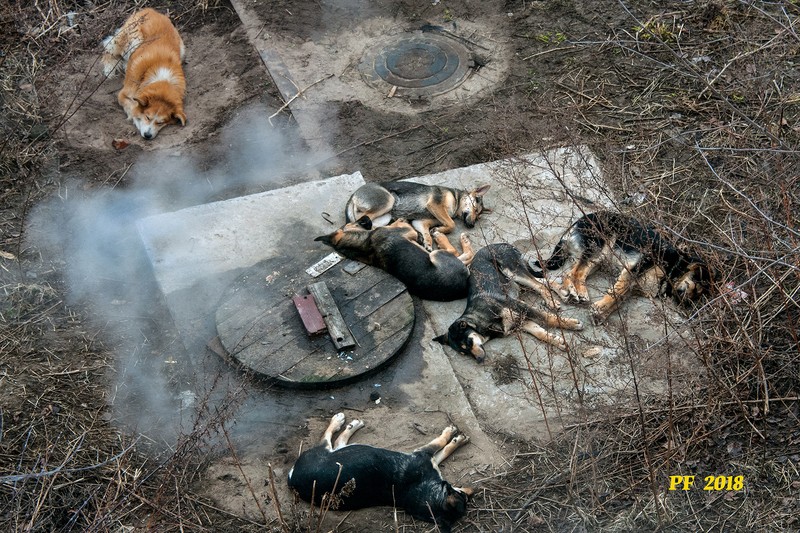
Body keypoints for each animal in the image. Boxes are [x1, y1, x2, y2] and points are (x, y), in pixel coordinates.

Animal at [288, 412, 476, 528]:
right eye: (463, 496)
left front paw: (456, 440)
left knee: (338, 441)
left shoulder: (428, 460)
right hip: (323, 452)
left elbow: (443, 451)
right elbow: (442, 444)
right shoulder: (423, 454)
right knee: (327, 437)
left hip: (340, 452)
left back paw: (350, 425)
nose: (474, 491)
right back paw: (339, 421)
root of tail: (292, 480)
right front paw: (454, 436)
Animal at [314, 215, 476, 300]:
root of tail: (463, 284)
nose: (366, 216)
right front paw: (399, 220)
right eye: (351, 222)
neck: (363, 244)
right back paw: (445, 237)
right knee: (461, 253)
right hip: (437, 255)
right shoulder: (408, 231)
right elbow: (401, 226)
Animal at [346, 181, 490, 251]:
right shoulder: (435, 205)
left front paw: (430, 239)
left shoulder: (420, 222)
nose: (472, 225)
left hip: (384, 217)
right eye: (475, 209)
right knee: (352, 223)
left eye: (478, 217)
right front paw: (440, 230)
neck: (456, 199)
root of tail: (353, 195)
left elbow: (429, 231)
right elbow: (452, 224)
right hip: (388, 201)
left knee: (371, 226)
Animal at [434, 243, 584, 360]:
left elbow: (547, 318)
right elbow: (539, 332)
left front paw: (571, 324)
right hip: (517, 280)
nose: (479, 360)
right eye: (463, 352)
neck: (481, 319)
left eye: (469, 342)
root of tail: (500, 244)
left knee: (539, 285)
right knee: (544, 281)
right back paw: (561, 293)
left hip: (513, 272)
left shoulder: (520, 307)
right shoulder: (520, 321)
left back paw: (551, 301)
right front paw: (558, 341)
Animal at [532, 211, 712, 320]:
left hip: (598, 259)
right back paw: (577, 292)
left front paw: (602, 314)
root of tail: (579, 220)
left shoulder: (634, 286)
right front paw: (600, 309)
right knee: (571, 273)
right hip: (601, 247)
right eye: (697, 286)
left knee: (574, 274)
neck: (675, 265)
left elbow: (619, 300)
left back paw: (578, 292)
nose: (688, 307)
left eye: (697, 295)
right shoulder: (634, 271)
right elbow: (617, 293)